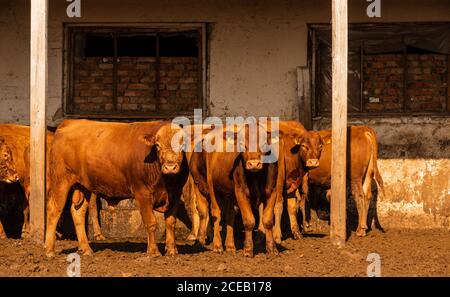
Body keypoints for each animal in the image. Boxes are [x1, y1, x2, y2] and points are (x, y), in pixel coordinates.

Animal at [44, 119, 188, 256]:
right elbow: (151, 223)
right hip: (61, 181)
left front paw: (172, 250)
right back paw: (49, 250)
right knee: (54, 210)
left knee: (78, 212)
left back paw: (86, 249)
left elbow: (170, 223)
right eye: (157, 145)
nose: (170, 166)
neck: (166, 182)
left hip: (83, 186)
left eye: (182, 145)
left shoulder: (176, 194)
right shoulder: (142, 193)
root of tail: (69, 123)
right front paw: (153, 251)